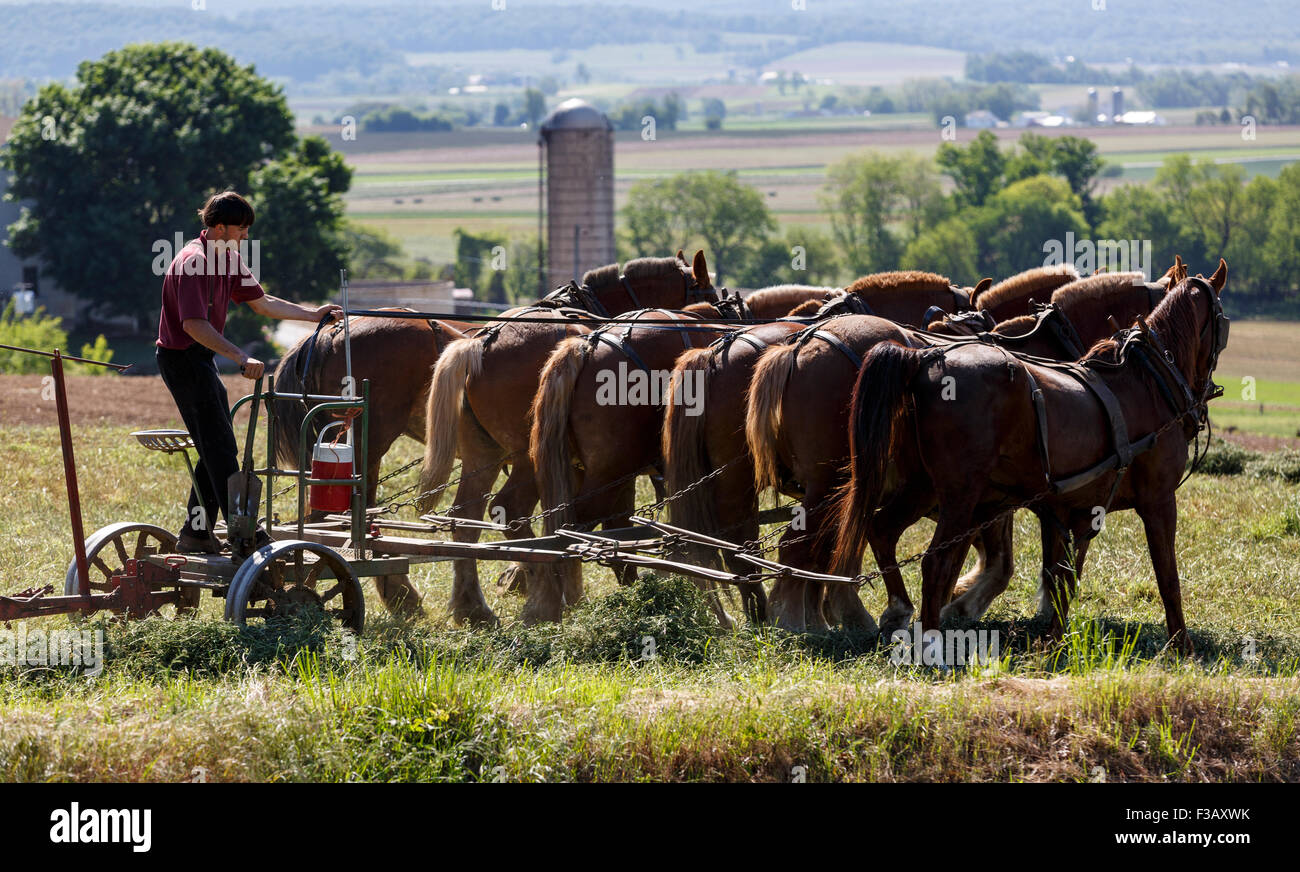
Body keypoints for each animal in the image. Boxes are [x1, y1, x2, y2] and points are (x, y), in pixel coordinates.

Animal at [417, 252, 719, 626]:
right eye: (708, 292)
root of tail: (477, 345)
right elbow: (605, 518)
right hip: (527, 458)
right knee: (512, 511)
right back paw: (540, 592)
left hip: (484, 456)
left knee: (465, 519)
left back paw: (476, 608)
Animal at [833, 261, 1228, 656]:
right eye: (1222, 320)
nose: (1206, 392)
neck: (1148, 383)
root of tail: (923, 360)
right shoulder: (1158, 500)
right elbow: (1166, 575)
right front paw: (1181, 643)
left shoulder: (1075, 509)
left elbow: (1064, 575)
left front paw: (1052, 639)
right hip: (959, 498)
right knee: (935, 562)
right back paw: (931, 643)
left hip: (922, 487)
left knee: (882, 530)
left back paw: (900, 613)